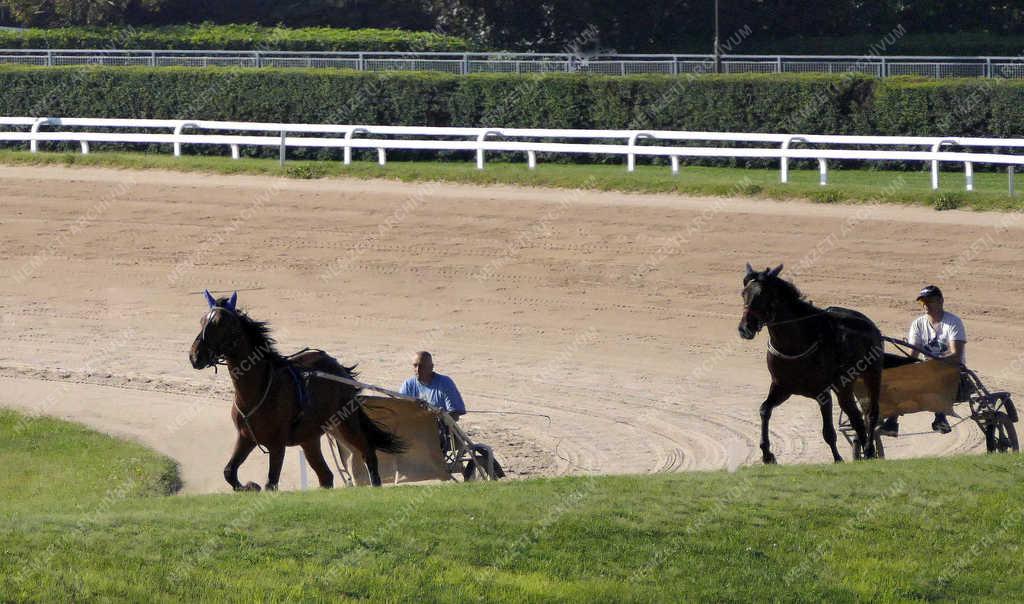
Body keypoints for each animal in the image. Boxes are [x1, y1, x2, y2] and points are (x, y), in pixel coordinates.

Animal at [190, 292, 405, 491]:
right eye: (202, 321)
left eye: (220, 323)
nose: (195, 356)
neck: (257, 390)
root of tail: (340, 369)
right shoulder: (246, 438)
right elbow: (229, 472)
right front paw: (249, 486)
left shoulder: (277, 444)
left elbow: (271, 483)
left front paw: (255, 486)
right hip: (310, 438)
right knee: (326, 476)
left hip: (345, 423)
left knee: (368, 452)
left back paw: (375, 485)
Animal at [737, 266, 888, 464]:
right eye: (743, 293)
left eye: (762, 295)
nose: (744, 328)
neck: (794, 344)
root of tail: (869, 324)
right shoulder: (781, 387)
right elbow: (764, 410)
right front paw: (767, 454)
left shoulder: (822, 393)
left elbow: (828, 432)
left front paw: (838, 459)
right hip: (844, 386)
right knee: (855, 416)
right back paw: (865, 453)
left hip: (872, 373)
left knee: (871, 413)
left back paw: (870, 449)